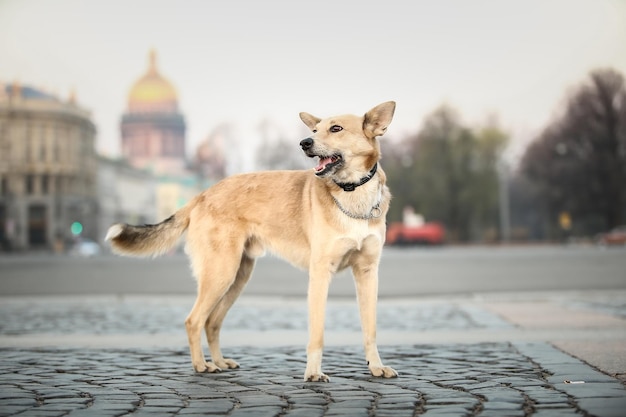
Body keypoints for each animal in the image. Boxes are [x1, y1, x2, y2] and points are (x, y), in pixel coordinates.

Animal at [102, 100, 394, 380]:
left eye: (336, 129)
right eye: (314, 130)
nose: (304, 143)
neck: (352, 194)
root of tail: (203, 194)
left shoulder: (368, 273)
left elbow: (371, 330)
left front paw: (376, 367)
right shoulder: (321, 273)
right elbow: (317, 334)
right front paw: (313, 373)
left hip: (237, 277)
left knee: (212, 322)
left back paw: (219, 362)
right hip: (221, 274)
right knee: (194, 320)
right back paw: (201, 365)